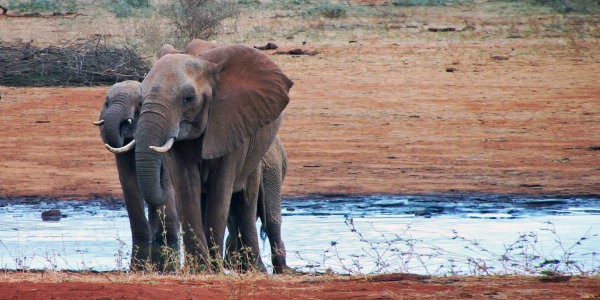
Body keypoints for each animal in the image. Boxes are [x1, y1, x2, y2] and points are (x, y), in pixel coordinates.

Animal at [92, 79, 179, 270]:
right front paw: (143, 243)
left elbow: (165, 179)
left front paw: (169, 243)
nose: (125, 123)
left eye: (140, 104)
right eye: (106, 102)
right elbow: (129, 182)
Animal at [137, 44, 296, 272]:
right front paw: (199, 270)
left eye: (188, 98)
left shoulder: (233, 121)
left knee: (248, 204)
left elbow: (220, 189)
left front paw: (212, 269)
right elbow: (186, 186)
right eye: (140, 98)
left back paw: (259, 270)